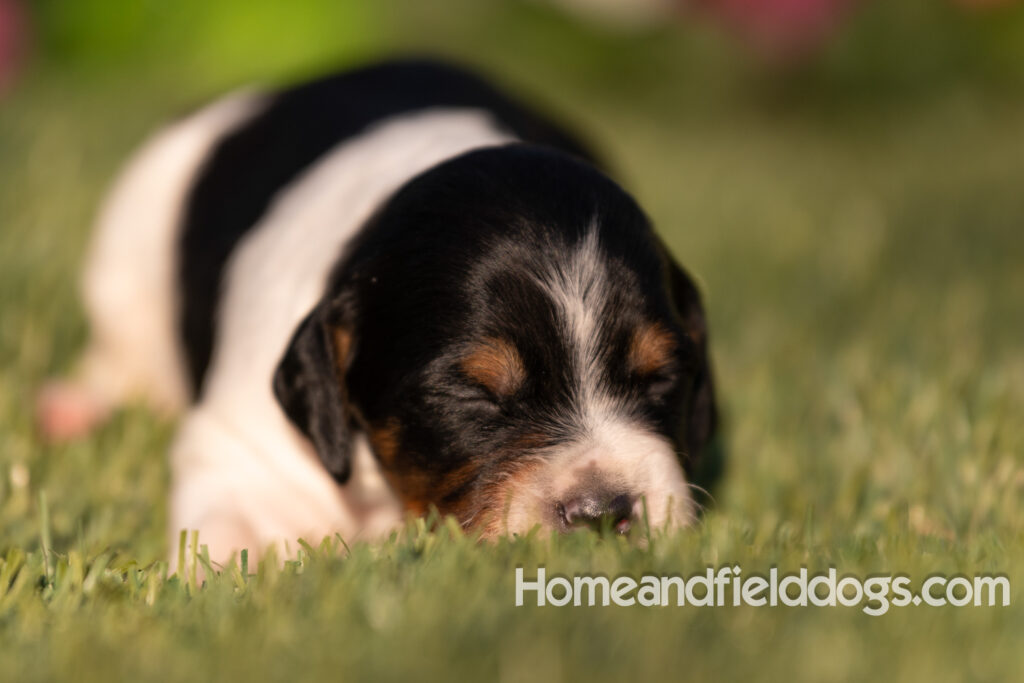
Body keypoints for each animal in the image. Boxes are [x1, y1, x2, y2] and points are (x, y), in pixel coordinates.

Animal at [37, 58, 720, 565]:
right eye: (473, 396)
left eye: (663, 377)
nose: (604, 514)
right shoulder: (238, 450)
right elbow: (227, 535)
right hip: (134, 225)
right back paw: (72, 410)